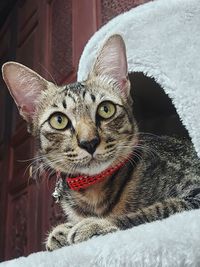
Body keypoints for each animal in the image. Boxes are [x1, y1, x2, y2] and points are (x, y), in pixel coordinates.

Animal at [1, 34, 200, 252]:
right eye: (58, 120)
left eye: (106, 109)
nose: (89, 142)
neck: (92, 192)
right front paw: (62, 230)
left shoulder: (194, 191)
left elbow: (157, 210)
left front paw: (97, 224)